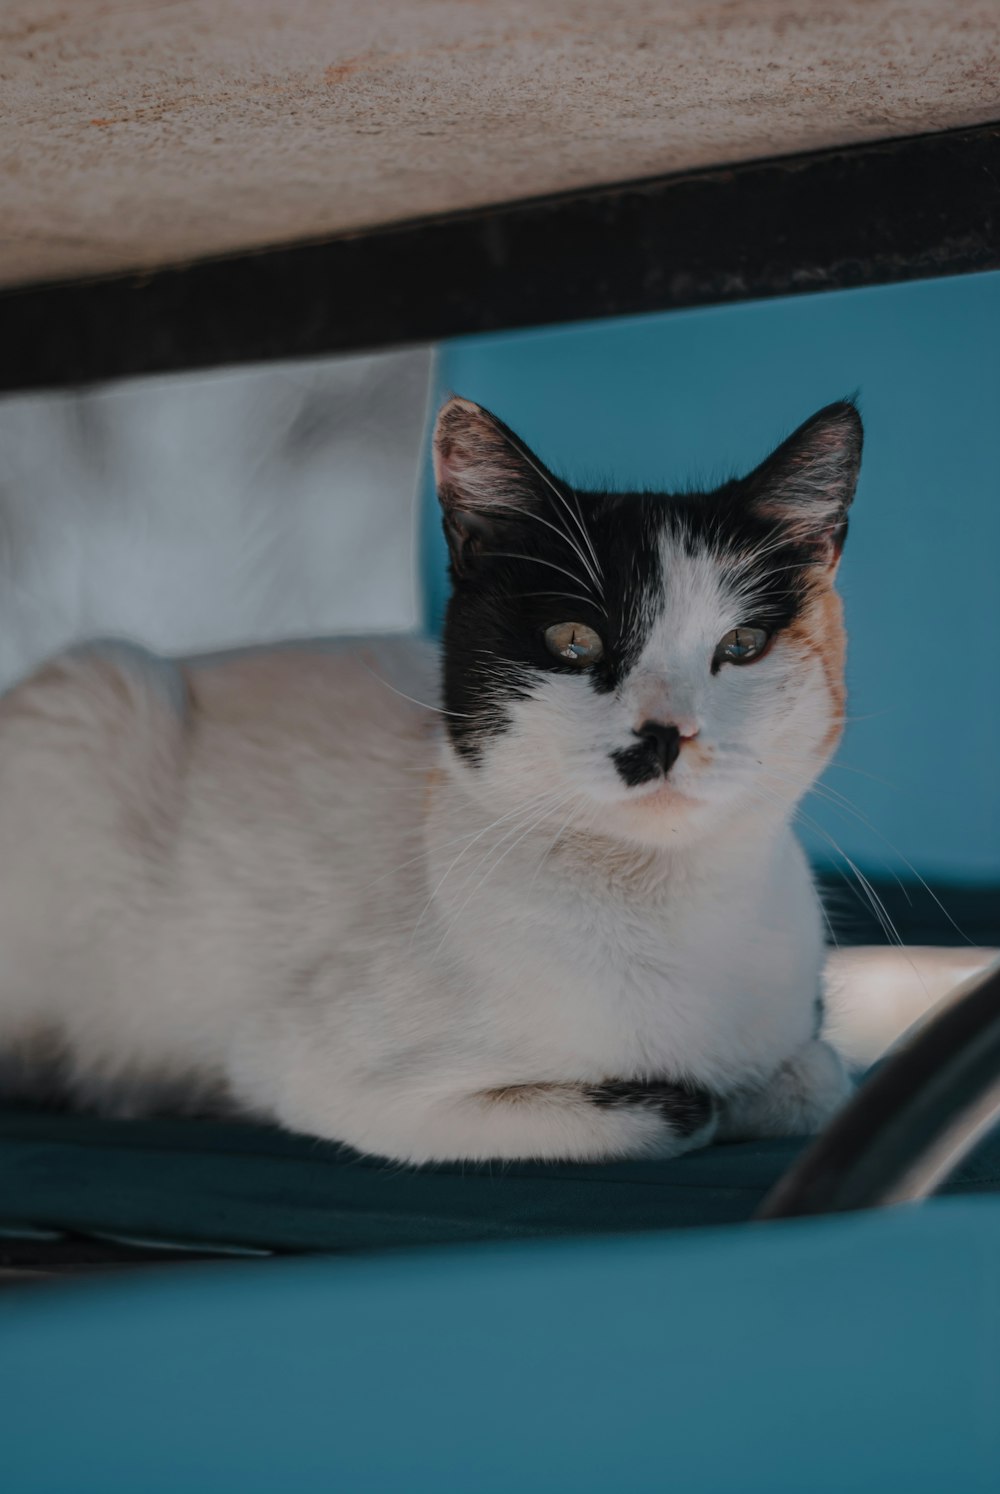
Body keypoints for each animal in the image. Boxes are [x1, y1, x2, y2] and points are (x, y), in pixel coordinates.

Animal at [0, 391, 860, 1159]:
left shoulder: (801, 1046)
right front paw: (688, 1097)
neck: (666, 918)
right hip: (106, 686)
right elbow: (675, 1111)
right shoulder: (318, 1070)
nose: (665, 733)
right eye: (573, 640)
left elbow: (815, 1081)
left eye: (741, 646)